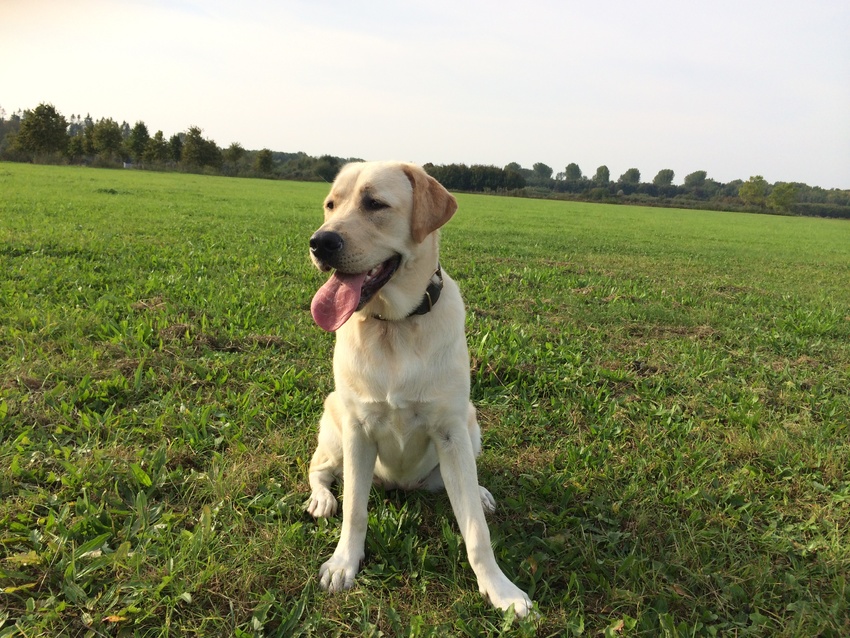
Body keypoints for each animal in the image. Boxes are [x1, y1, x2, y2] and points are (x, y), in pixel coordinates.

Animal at [305, 161, 533, 617]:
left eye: (375, 203)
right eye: (331, 204)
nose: (320, 242)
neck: (395, 326)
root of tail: (402, 487)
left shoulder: (450, 432)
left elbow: (476, 531)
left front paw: (501, 590)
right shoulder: (357, 430)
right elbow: (355, 511)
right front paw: (343, 564)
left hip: (470, 425)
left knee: (458, 484)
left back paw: (480, 492)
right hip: (336, 428)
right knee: (319, 469)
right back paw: (321, 499)